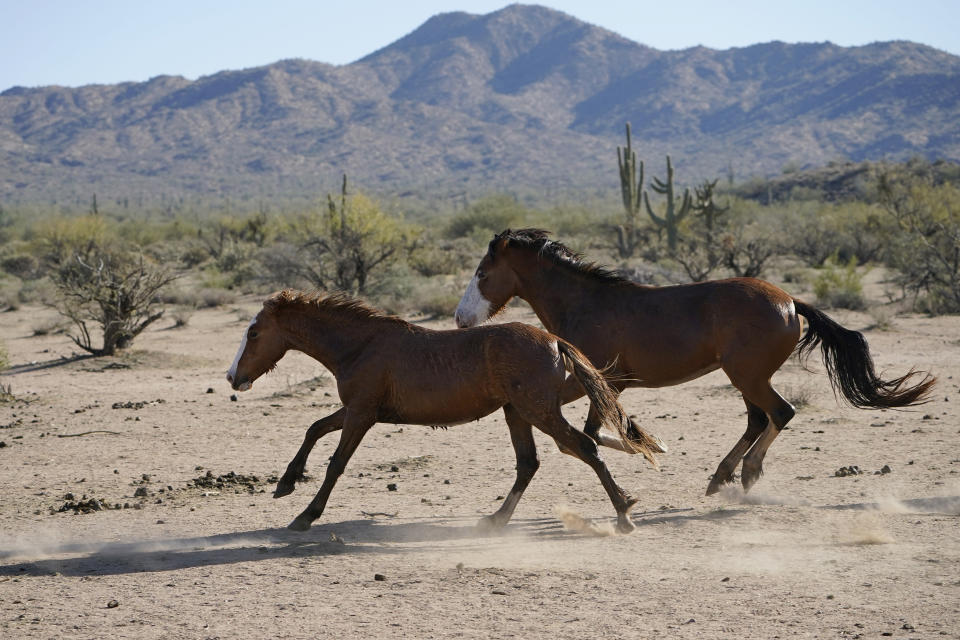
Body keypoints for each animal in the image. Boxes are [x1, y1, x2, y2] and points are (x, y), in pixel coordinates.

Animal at [227, 288, 660, 528]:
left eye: (254, 332)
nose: (233, 377)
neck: (360, 346)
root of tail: (554, 340)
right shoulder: (357, 409)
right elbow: (314, 428)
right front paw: (285, 484)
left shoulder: (362, 414)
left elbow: (336, 463)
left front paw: (304, 516)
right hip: (517, 412)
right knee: (528, 463)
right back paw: (495, 520)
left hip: (539, 412)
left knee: (583, 448)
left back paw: (624, 514)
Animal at [458, 230, 936, 496]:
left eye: (483, 274)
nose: (461, 320)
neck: (587, 304)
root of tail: (789, 302)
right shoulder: (600, 383)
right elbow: (597, 432)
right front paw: (651, 444)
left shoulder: (601, 379)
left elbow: (596, 433)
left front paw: (652, 445)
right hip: (746, 377)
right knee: (758, 420)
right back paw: (721, 477)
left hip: (747, 375)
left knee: (780, 413)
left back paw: (747, 474)